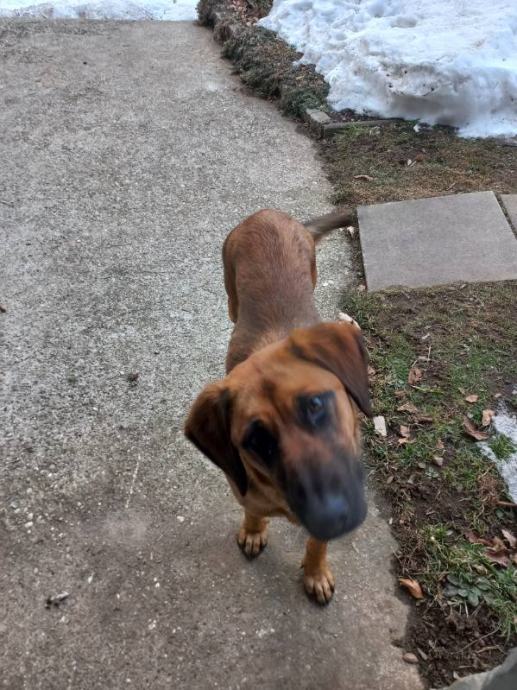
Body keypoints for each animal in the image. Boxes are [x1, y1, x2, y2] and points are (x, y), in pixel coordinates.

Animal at [185, 208, 372, 604]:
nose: (331, 517)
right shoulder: (245, 491)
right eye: (256, 441)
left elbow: (317, 544)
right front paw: (254, 530)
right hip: (230, 287)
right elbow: (252, 511)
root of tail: (266, 214)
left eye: (315, 404)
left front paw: (315, 571)